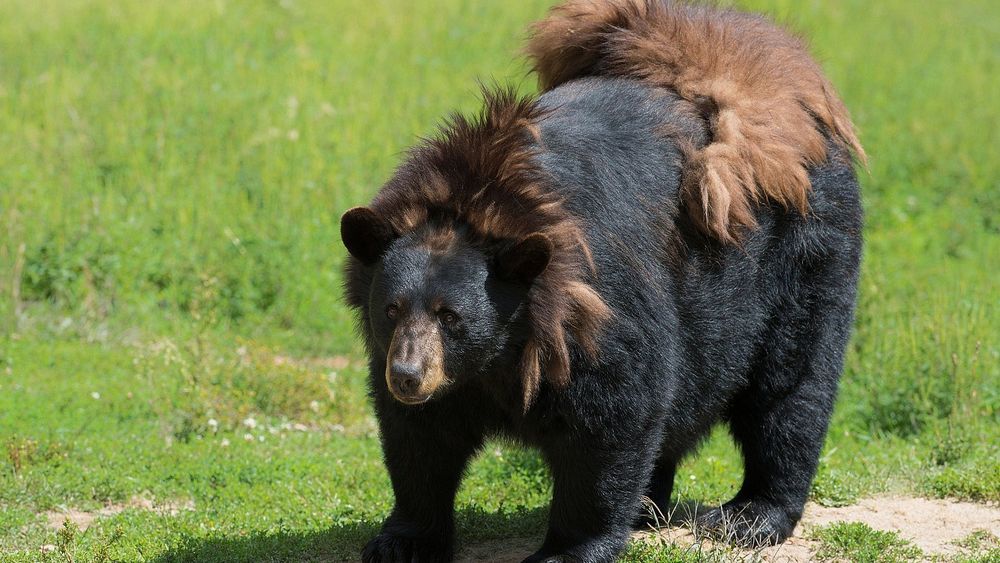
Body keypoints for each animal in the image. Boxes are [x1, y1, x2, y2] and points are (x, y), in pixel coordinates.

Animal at [341, 1, 864, 561]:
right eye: (391, 308)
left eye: (451, 315)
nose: (408, 375)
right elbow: (419, 440)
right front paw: (400, 540)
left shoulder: (595, 307)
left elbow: (611, 419)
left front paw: (568, 548)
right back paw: (650, 507)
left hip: (804, 250)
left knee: (790, 384)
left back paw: (750, 516)